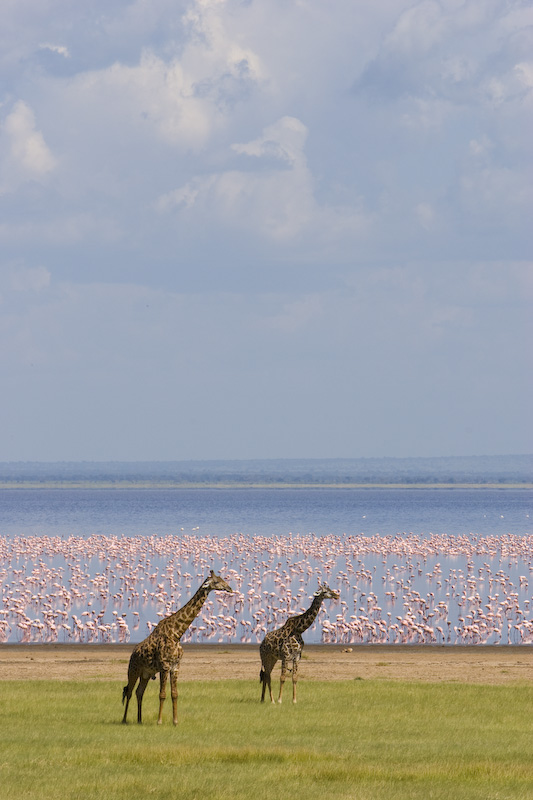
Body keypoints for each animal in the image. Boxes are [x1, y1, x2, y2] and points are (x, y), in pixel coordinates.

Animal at [121, 568, 232, 724]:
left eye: (222, 579)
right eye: (216, 581)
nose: (229, 588)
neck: (177, 633)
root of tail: (133, 653)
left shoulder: (176, 666)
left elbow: (174, 694)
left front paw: (175, 721)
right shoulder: (164, 666)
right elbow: (162, 694)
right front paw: (159, 721)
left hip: (146, 674)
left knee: (139, 692)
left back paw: (139, 720)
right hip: (133, 670)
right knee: (129, 691)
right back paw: (125, 719)